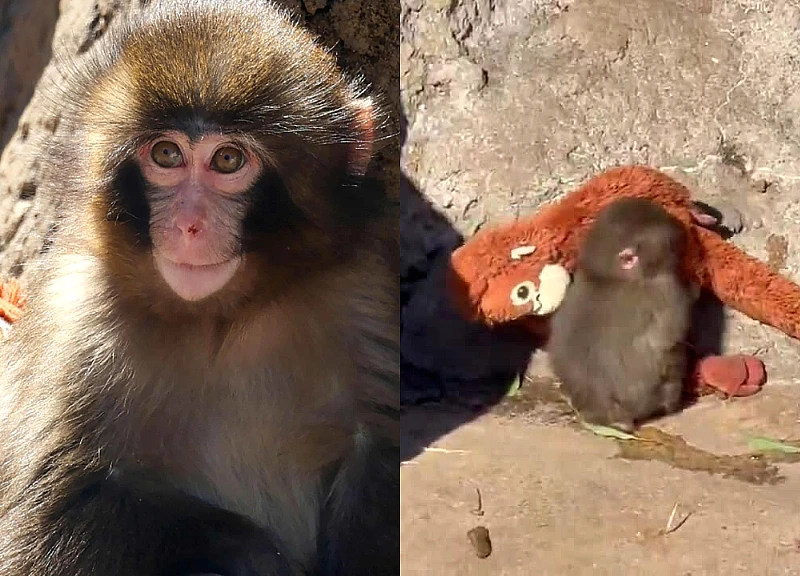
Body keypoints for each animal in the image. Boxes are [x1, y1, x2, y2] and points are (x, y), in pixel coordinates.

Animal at [0, 1, 399, 575]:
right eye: (166, 154)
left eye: (228, 160)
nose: (189, 224)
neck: (219, 317)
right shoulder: (76, 316)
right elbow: (43, 519)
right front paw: (250, 552)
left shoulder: (363, 289)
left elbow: (382, 456)